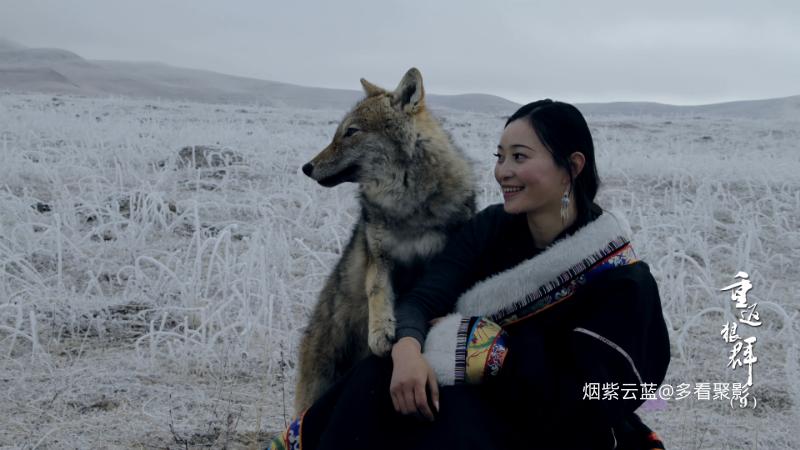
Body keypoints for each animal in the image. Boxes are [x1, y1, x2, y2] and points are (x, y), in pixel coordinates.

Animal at [295, 68, 476, 413]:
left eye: (351, 132)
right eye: (338, 132)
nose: (306, 167)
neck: (407, 205)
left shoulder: (437, 258)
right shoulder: (380, 257)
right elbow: (377, 292)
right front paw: (381, 332)